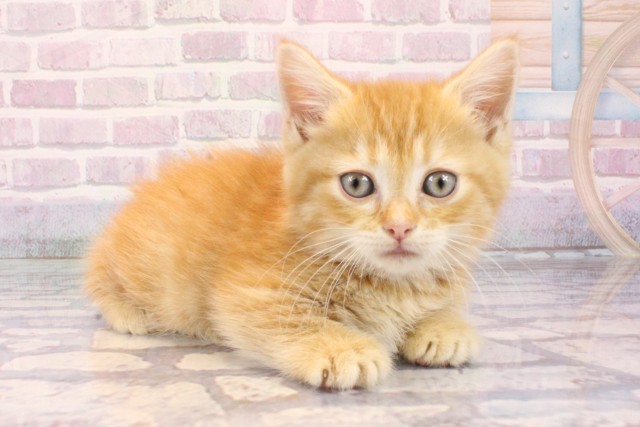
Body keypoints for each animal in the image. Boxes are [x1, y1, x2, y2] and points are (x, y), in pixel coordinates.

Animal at [85, 39, 518, 390]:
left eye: (440, 183)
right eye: (357, 184)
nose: (399, 227)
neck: (391, 285)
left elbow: (444, 304)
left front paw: (446, 325)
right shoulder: (244, 292)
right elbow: (282, 316)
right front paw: (341, 347)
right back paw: (129, 313)